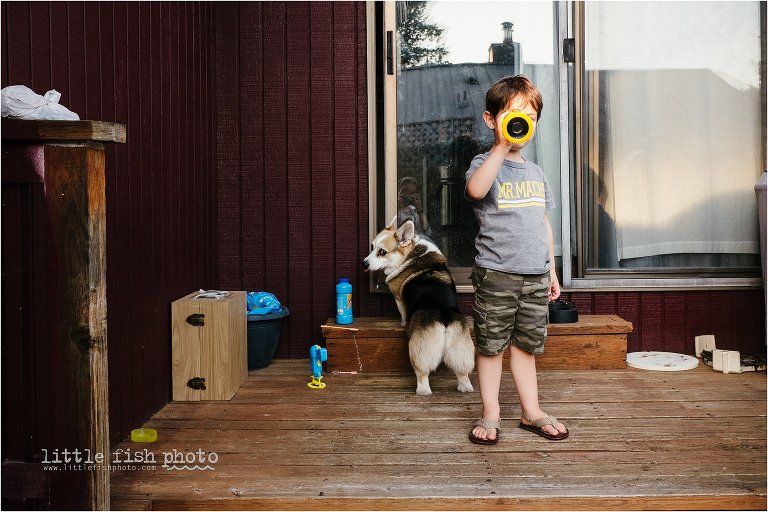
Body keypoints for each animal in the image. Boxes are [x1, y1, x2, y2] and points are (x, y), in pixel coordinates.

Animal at [362, 216, 474, 396]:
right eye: (372, 247)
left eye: (382, 252)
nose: (364, 264)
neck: (409, 254)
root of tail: (443, 315)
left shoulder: (399, 298)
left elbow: (402, 312)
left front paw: (402, 323)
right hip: (460, 348)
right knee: (462, 372)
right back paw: (465, 387)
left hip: (419, 350)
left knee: (422, 373)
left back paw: (422, 391)